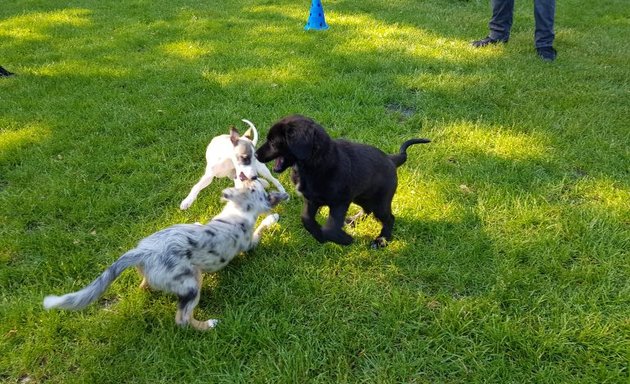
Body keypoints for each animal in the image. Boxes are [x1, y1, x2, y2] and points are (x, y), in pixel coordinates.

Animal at [45, 179, 290, 330]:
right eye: (256, 188)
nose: (249, 176)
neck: (236, 212)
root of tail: (141, 251)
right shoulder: (249, 244)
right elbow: (261, 228)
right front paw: (273, 218)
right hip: (192, 282)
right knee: (182, 319)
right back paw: (208, 325)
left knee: (144, 286)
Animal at [256, 114, 430, 248]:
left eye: (273, 142)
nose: (256, 155)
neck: (315, 163)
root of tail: (392, 159)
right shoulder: (311, 200)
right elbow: (305, 218)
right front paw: (319, 235)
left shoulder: (339, 202)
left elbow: (330, 228)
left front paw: (344, 239)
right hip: (361, 196)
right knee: (367, 209)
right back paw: (353, 220)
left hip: (380, 201)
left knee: (389, 218)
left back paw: (382, 240)